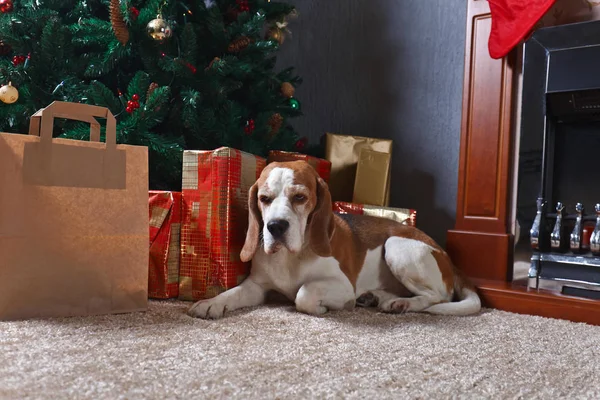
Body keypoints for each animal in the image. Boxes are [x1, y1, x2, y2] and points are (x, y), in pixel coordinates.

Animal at [190, 159, 480, 318]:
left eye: (300, 197)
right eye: (264, 198)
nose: (275, 227)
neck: (290, 258)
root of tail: (448, 258)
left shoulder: (342, 285)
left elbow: (304, 294)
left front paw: (321, 308)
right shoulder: (257, 286)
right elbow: (233, 293)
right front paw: (211, 303)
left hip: (396, 245)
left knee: (438, 297)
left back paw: (401, 303)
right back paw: (376, 297)